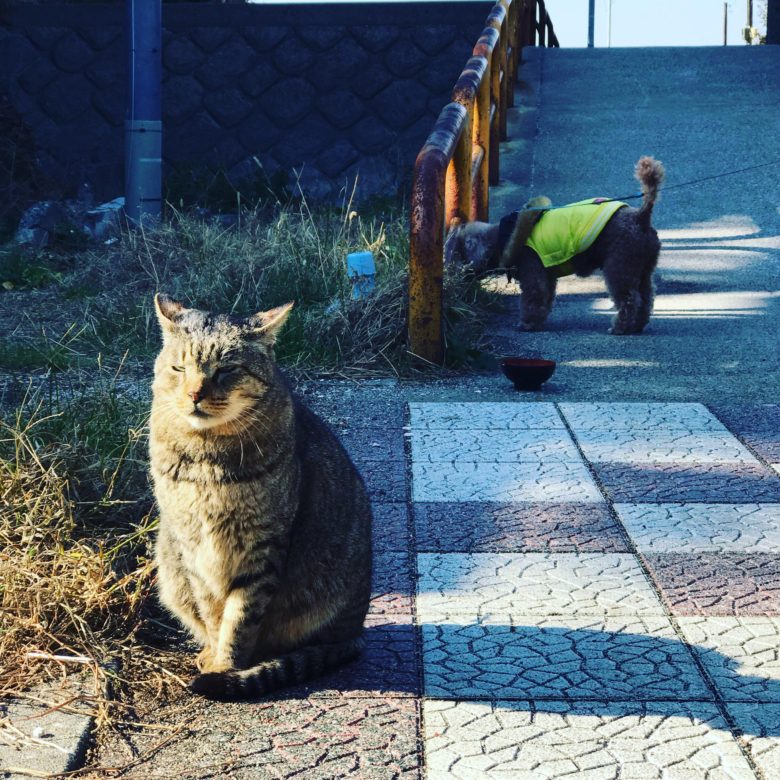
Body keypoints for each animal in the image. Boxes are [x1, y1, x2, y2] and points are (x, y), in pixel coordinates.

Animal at [152, 294, 374, 700]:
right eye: (178, 367)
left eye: (226, 369)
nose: (194, 394)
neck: (206, 457)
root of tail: (357, 632)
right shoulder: (193, 549)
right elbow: (213, 612)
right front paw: (214, 654)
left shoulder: (262, 546)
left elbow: (240, 618)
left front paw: (226, 667)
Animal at [444, 157, 664, 334]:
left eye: (456, 252)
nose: (451, 277)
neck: (502, 238)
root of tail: (640, 217)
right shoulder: (546, 275)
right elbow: (545, 298)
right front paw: (537, 322)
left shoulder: (532, 271)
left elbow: (532, 298)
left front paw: (527, 324)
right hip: (642, 268)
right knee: (646, 298)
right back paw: (637, 325)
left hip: (619, 266)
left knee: (629, 299)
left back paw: (620, 327)